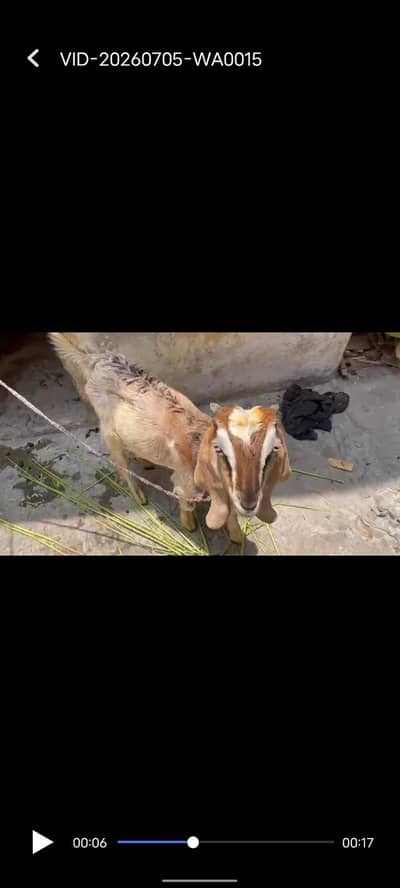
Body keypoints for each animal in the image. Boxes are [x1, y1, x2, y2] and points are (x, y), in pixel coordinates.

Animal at [48, 334, 291, 542]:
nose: (250, 501)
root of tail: (96, 359)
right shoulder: (185, 480)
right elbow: (187, 501)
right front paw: (190, 526)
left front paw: (237, 536)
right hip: (109, 431)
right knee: (121, 464)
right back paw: (140, 496)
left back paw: (145, 461)